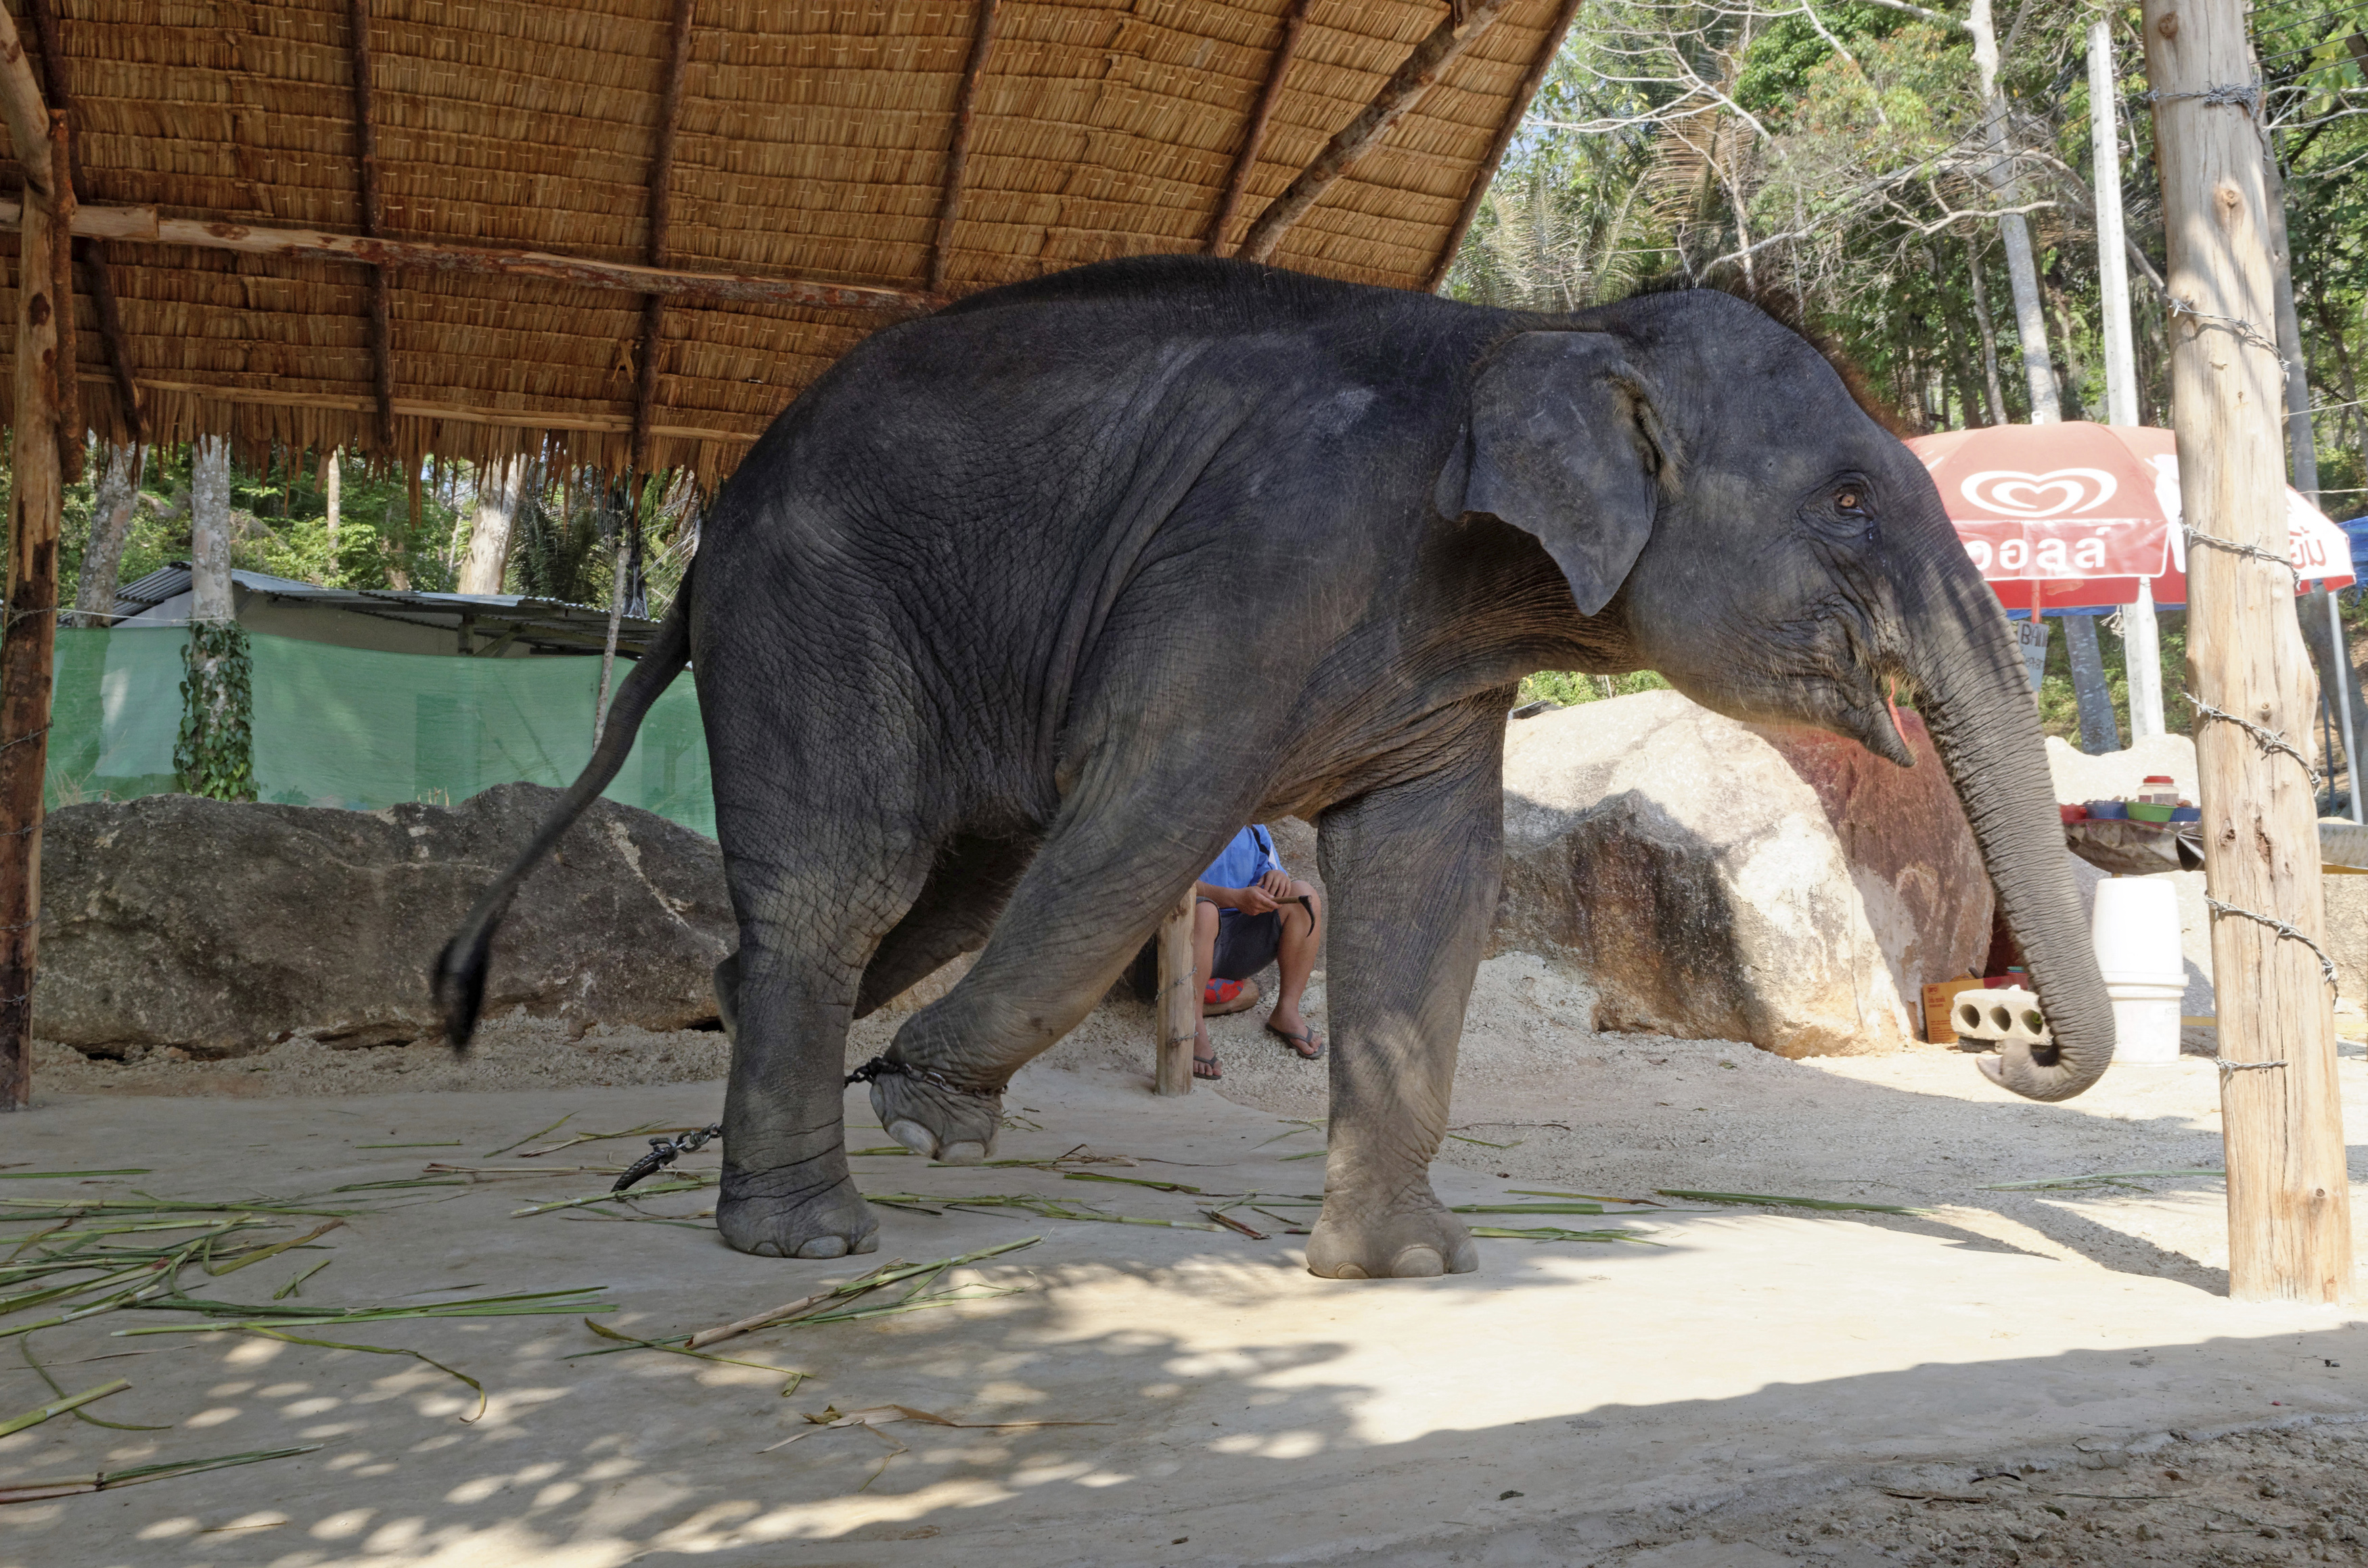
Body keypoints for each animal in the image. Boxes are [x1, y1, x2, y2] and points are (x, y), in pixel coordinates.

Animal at [438, 254, 2111, 1279]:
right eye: (1847, 499)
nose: (2005, 1036)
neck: (1536, 325)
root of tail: (709, 534)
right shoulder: (1253, 568)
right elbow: (1152, 811)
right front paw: (926, 1108)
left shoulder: (1441, 666)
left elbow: (1429, 884)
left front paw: (1406, 1269)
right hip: (817, 609)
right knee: (851, 884)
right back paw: (812, 1239)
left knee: (933, 893)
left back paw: (751, 1128)